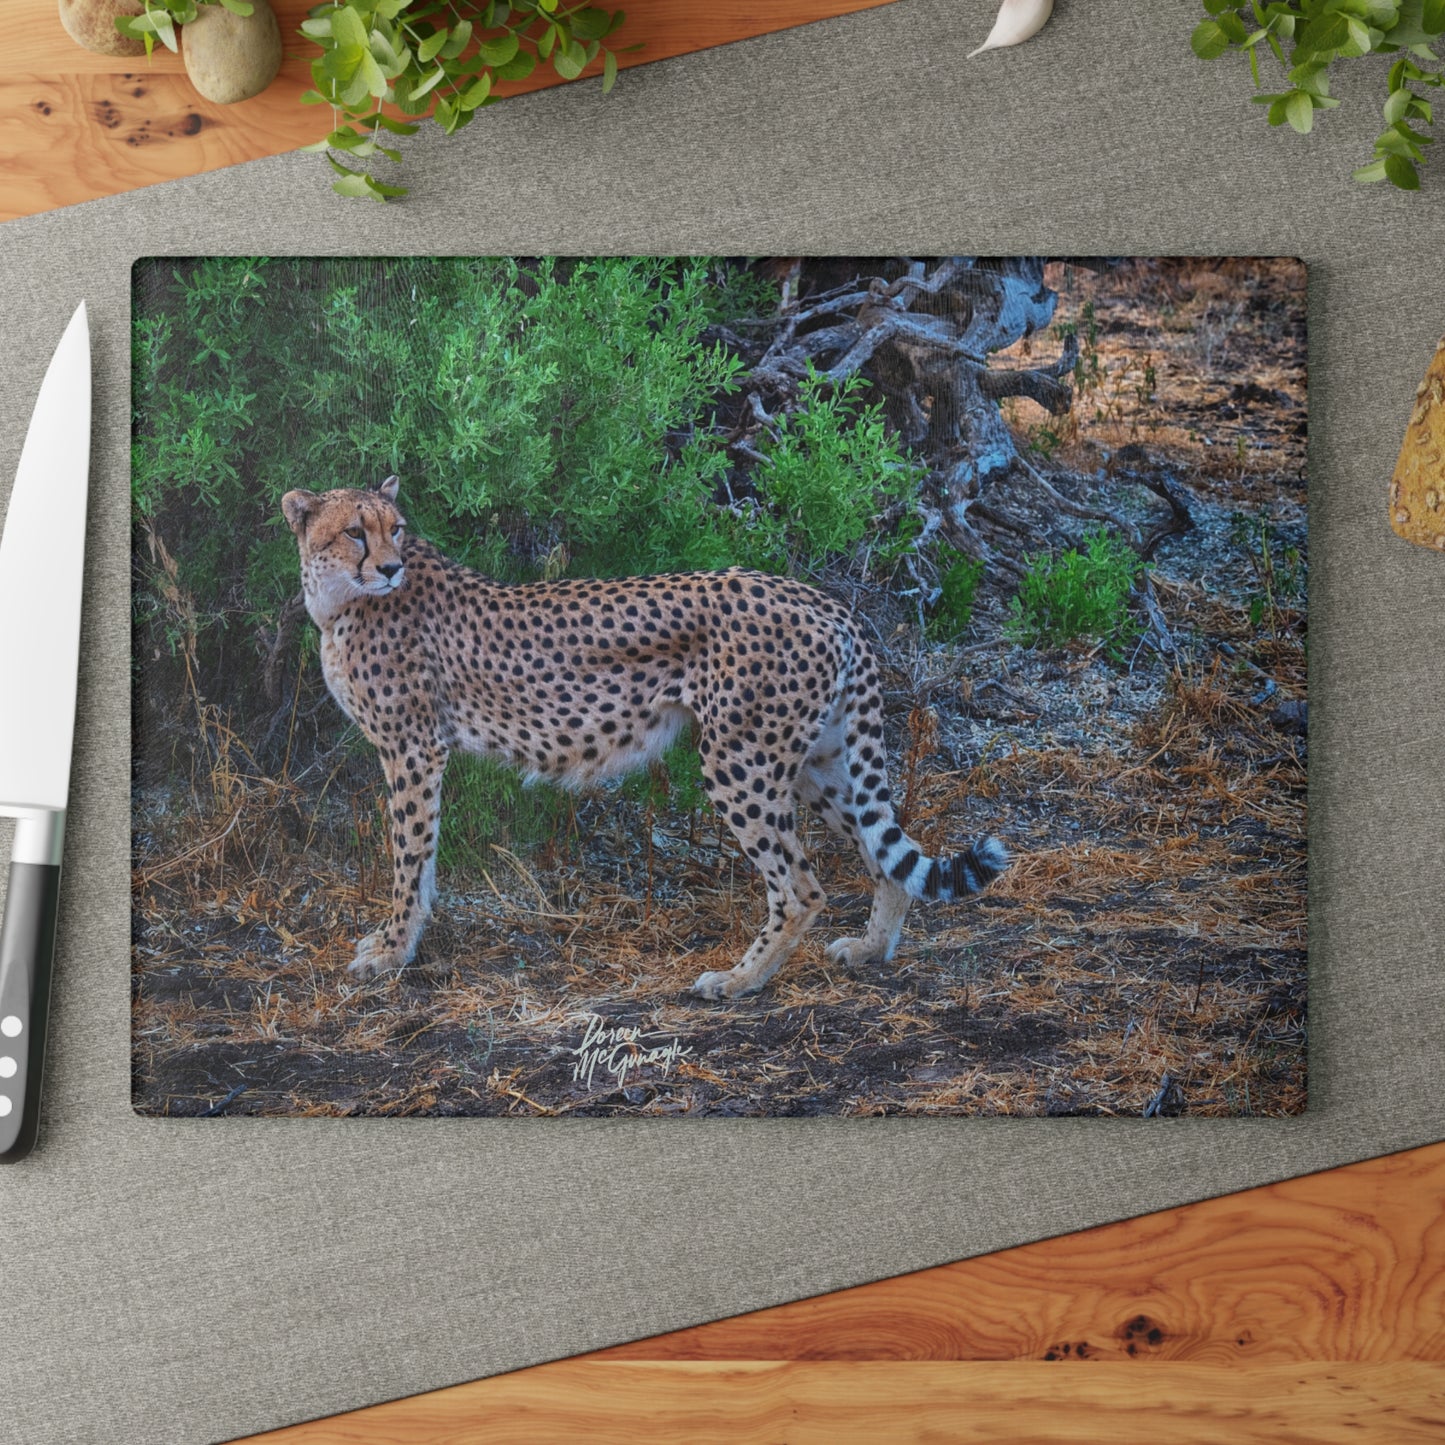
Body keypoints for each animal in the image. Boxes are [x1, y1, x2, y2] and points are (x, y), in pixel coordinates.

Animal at [281, 477, 1010, 1000]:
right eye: (355, 532)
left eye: (395, 529)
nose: (390, 567)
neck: (340, 599)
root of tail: (818, 597)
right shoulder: (418, 750)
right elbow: (422, 857)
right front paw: (398, 940)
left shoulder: (412, 748)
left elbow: (409, 855)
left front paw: (393, 950)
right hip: (816, 759)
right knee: (884, 851)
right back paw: (869, 948)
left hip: (739, 759)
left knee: (801, 886)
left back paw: (739, 980)